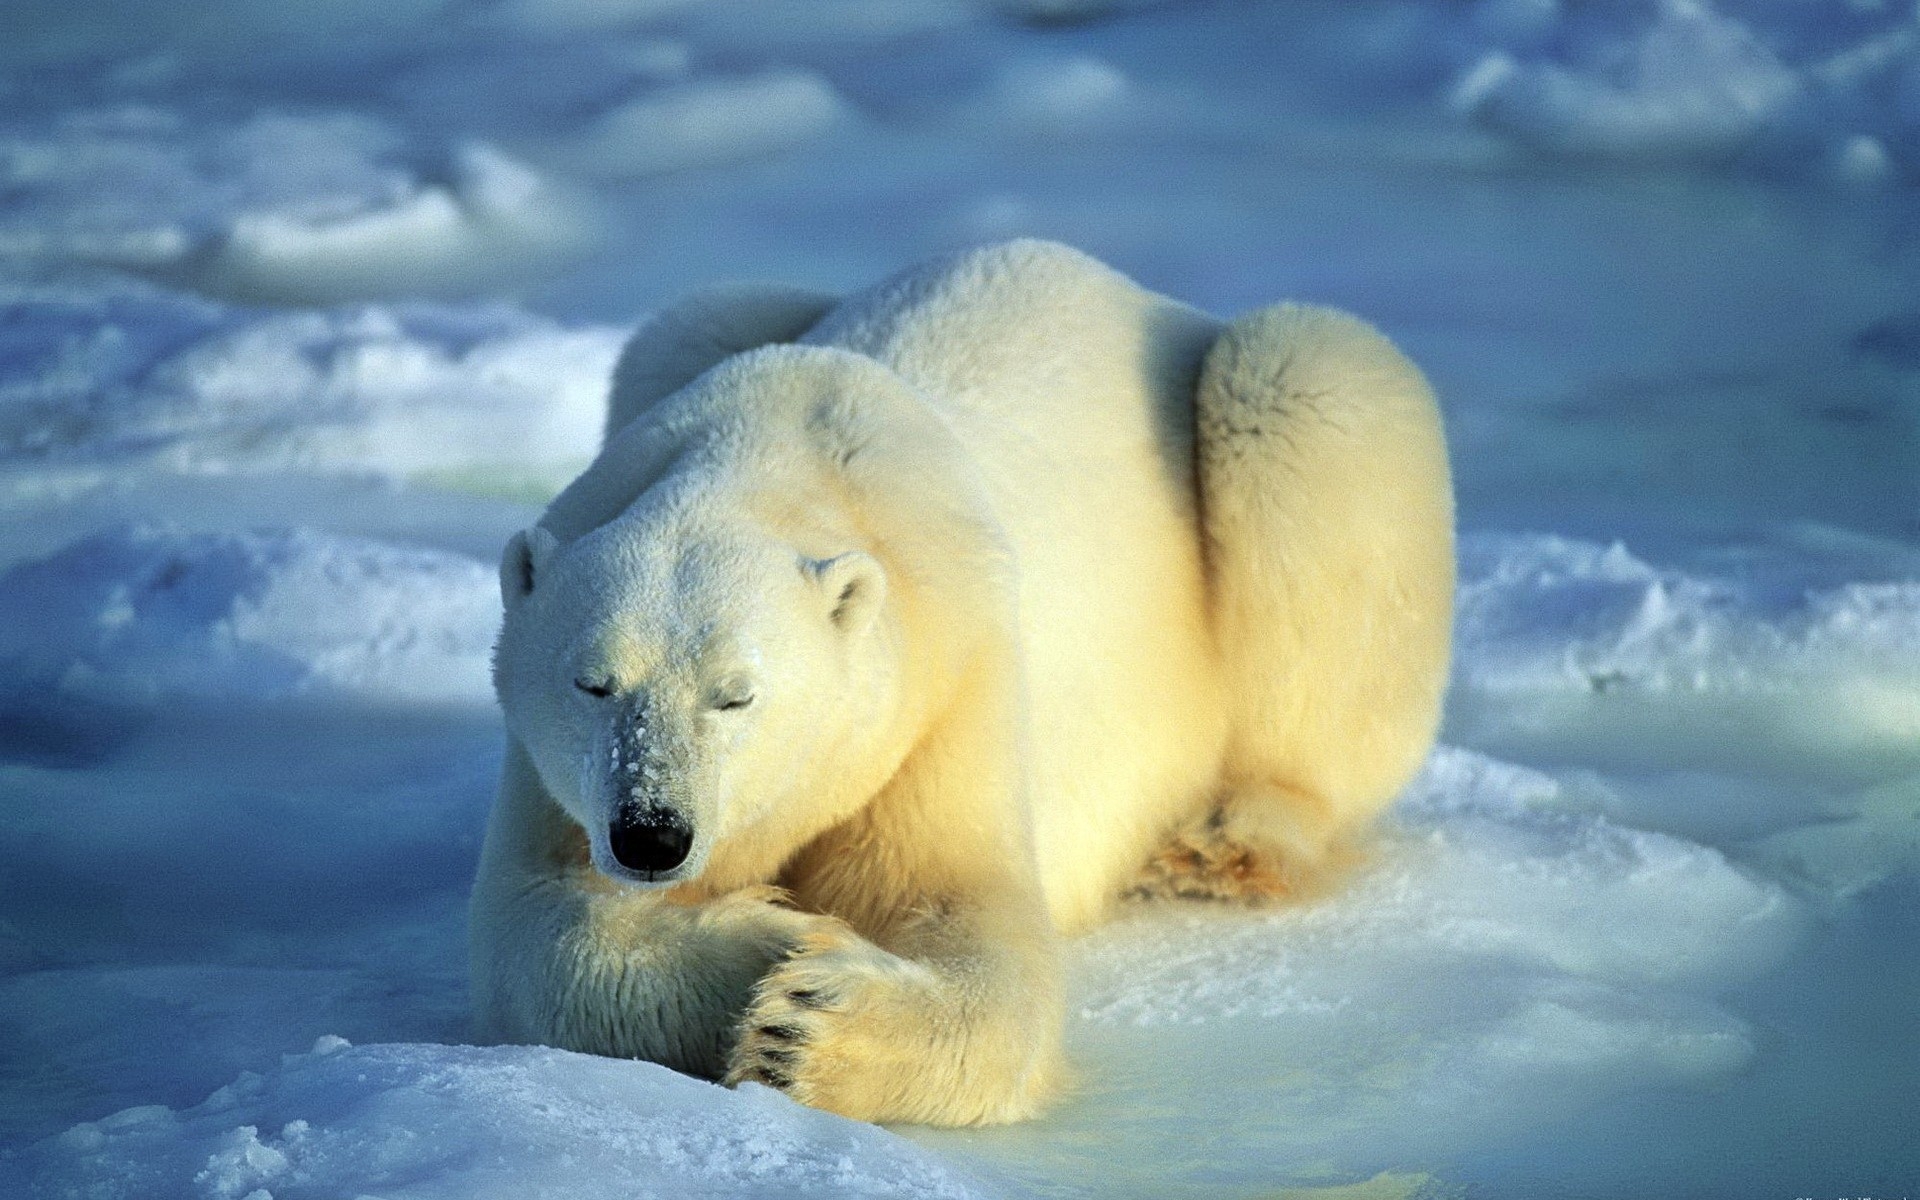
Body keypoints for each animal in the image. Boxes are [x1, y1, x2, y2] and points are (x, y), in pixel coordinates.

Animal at [468, 240, 1451, 1121]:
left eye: (736, 694)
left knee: (1307, 396)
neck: (782, 455)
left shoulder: (946, 681)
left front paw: (806, 1024)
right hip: (695, 329)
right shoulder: (553, 772)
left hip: (1283, 416)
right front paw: (772, 939)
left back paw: (1228, 841)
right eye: (593, 684)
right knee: (690, 315)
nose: (651, 834)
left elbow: (970, 916)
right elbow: (535, 927)